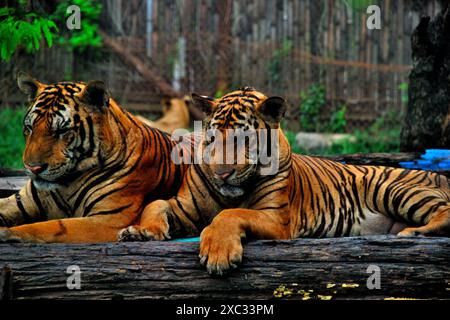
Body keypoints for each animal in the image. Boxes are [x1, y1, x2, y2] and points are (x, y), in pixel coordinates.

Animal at [0, 72, 189, 242]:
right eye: (30, 128)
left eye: (62, 130)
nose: (33, 168)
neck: (66, 183)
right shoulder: (21, 202)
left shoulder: (110, 220)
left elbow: (52, 226)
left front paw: (7, 232)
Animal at [118, 87, 450, 276]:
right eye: (212, 138)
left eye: (242, 139)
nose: (222, 173)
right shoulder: (185, 207)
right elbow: (155, 203)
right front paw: (141, 232)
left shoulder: (277, 218)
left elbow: (231, 213)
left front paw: (218, 254)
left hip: (391, 188)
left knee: (444, 211)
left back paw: (414, 233)